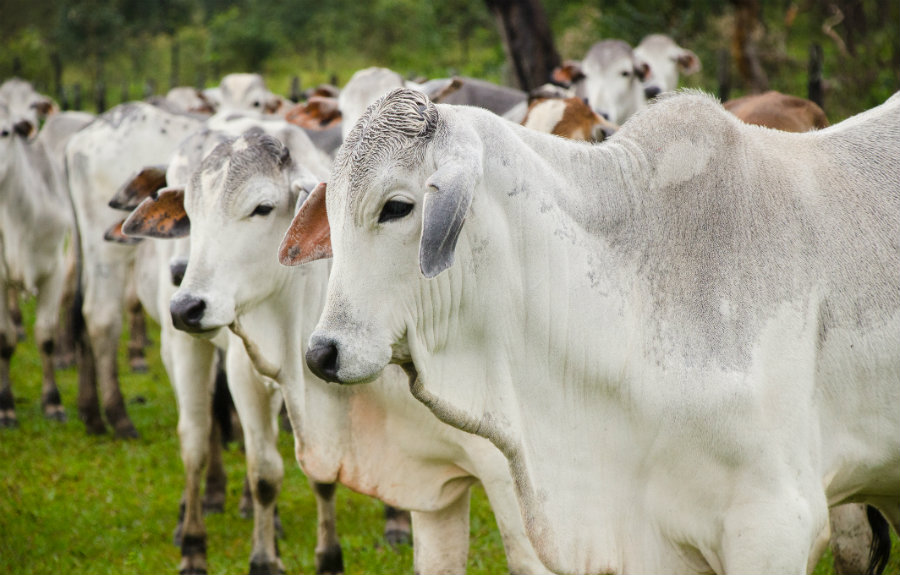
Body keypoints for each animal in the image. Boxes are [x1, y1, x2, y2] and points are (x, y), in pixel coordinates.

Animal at [125, 130, 548, 575]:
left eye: (262, 208)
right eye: (190, 213)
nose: (186, 305)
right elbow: (265, 474)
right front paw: (269, 558)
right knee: (194, 439)